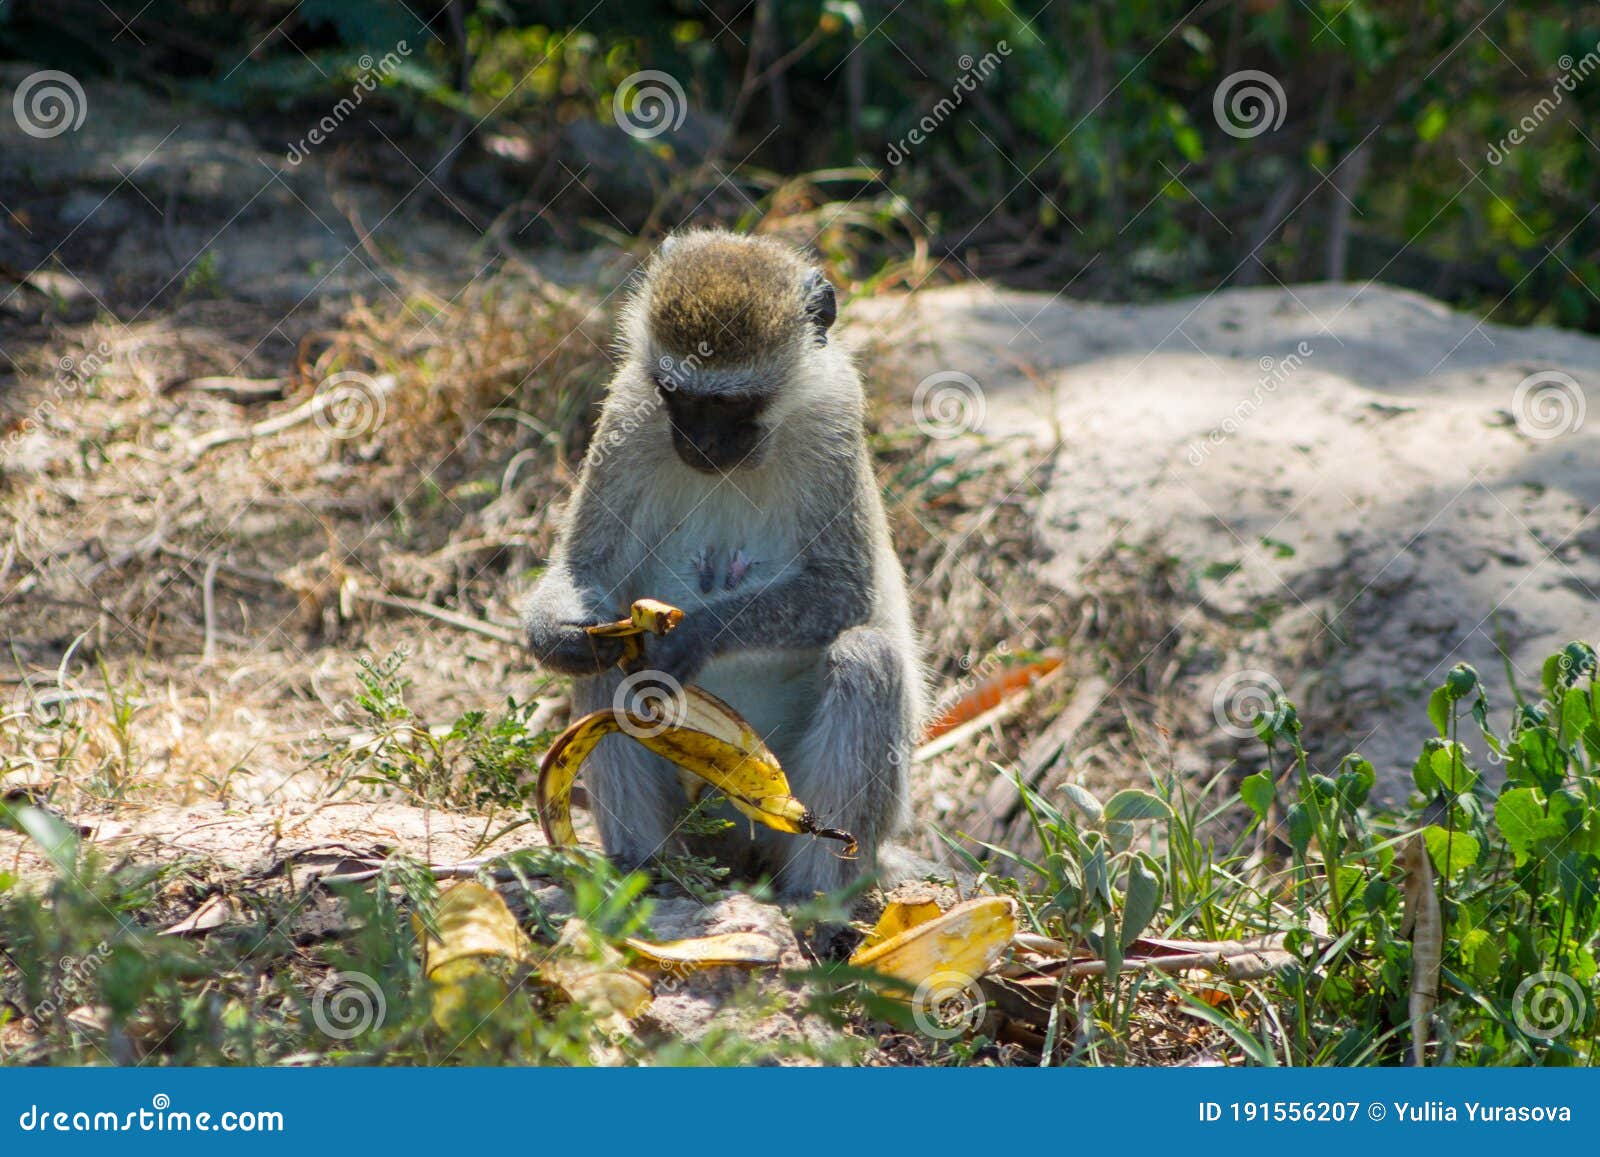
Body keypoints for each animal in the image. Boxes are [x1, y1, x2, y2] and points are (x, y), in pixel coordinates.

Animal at [524, 225, 928, 896]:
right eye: (676, 394)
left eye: (737, 404)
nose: (700, 444)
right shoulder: (628, 411)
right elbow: (586, 567)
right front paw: (558, 637)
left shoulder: (836, 416)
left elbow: (846, 591)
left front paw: (701, 636)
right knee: (608, 669)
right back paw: (646, 870)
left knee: (867, 657)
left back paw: (816, 898)